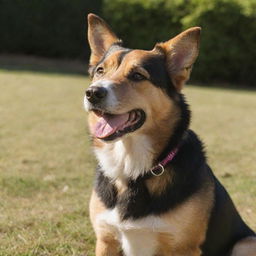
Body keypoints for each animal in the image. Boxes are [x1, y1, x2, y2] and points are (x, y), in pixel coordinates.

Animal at [84, 14, 256, 256]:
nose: (92, 93)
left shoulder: (184, 248)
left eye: (137, 75)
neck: (133, 170)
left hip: (247, 242)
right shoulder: (106, 240)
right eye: (100, 71)